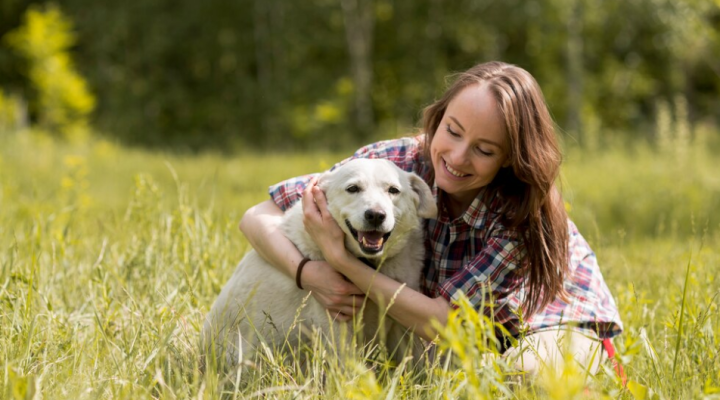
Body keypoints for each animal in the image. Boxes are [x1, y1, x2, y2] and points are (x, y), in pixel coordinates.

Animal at [204, 159, 438, 368]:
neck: (372, 265)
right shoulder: (336, 325)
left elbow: (415, 366)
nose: (376, 215)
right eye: (353, 188)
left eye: (393, 190)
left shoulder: (403, 327)